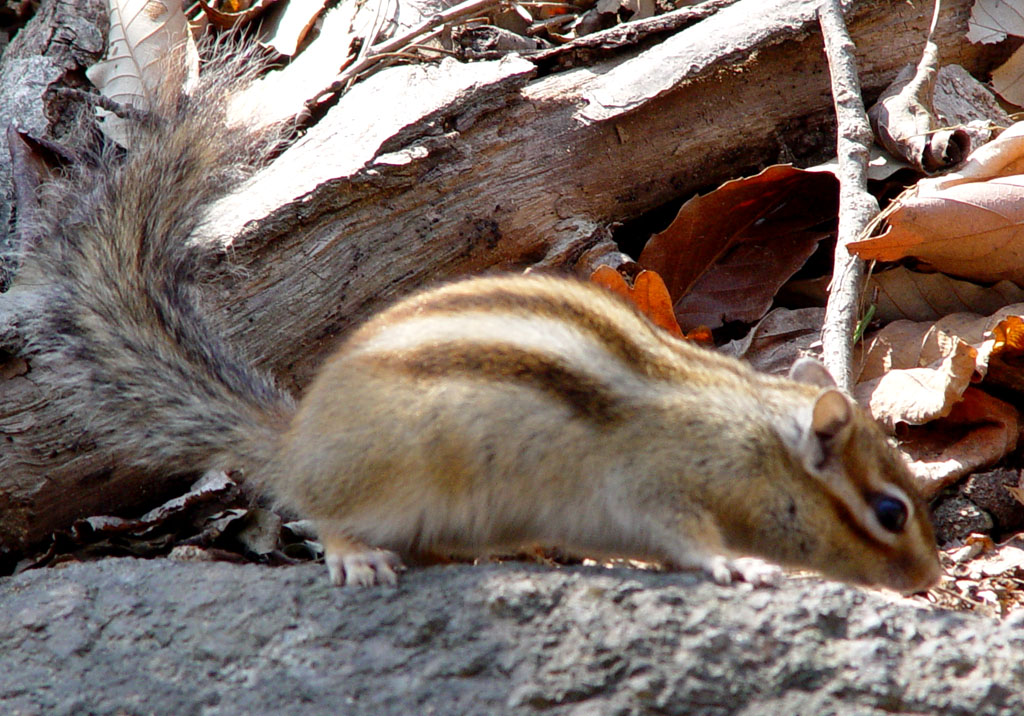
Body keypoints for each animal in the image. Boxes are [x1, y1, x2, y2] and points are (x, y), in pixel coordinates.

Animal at [7, 43, 941, 594]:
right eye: (890, 511)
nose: (930, 579)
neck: (743, 432)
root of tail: (298, 437)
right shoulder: (653, 484)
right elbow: (684, 536)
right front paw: (737, 563)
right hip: (386, 476)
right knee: (324, 514)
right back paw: (358, 556)